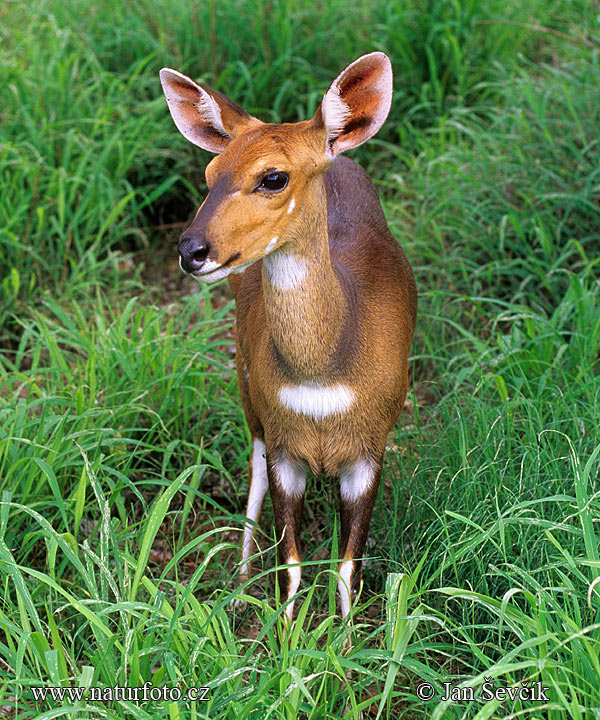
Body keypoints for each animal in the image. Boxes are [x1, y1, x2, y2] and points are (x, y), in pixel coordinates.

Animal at [159, 53, 418, 620]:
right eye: (209, 173)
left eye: (273, 177)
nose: (191, 250)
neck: (323, 372)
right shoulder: (283, 445)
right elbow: (292, 567)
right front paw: (285, 636)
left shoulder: (369, 450)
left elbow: (347, 567)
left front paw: (345, 641)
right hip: (244, 382)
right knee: (251, 467)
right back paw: (239, 577)